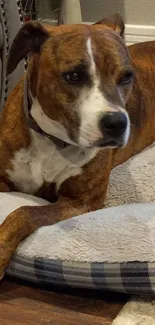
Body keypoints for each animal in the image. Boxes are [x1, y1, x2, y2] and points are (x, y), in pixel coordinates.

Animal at [0, 12, 155, 276]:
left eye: (127, 76)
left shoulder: (80, 202)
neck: (52, 141)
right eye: (73, 76)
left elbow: (25, 212)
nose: (117, 122)